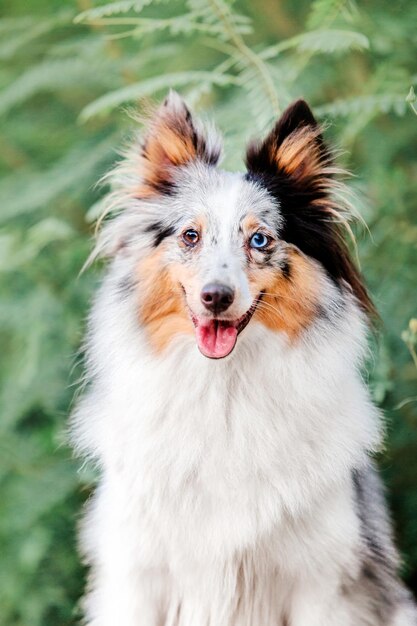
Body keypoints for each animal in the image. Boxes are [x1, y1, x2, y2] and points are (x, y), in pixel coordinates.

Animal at [72, 90, 416, 620]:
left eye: (259, 239)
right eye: (190, 236)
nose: (216, 297)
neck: (224, 390)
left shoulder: (323, 581)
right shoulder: (137, 579)